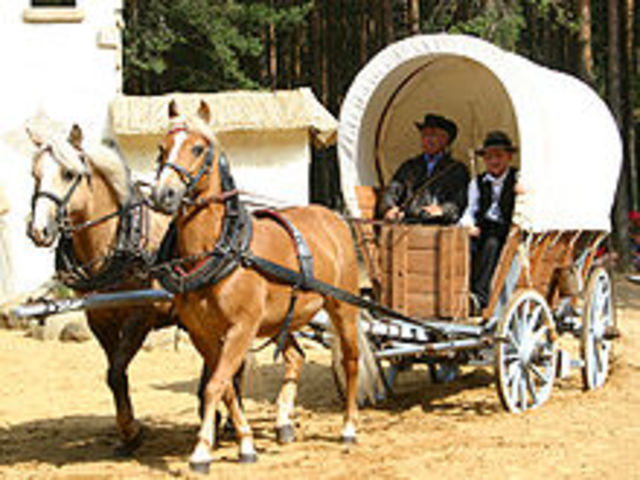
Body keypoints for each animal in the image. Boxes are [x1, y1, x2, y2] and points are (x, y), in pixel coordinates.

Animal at [25, 122, 240, 454]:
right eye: (34, 174)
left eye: (68, 173)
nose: (39, 230)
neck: (119, 243)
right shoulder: (99, 319)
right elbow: (116, 374)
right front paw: (128, 433)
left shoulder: (140, 317)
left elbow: (115, 372)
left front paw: (132, 431)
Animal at [151, 99, 360, 471]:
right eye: (162, 148)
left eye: (198, 148)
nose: (164, 194)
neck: (221, 250)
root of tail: (332, 216)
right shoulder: (203, 334)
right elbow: (225, 387)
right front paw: (246, 442)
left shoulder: (241, 328)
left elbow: (216, 384)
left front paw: (201, 451)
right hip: (280, 320)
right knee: (295, 357)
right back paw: (284, 422)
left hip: (342, 306)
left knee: (350, 360)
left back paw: (349, 427)